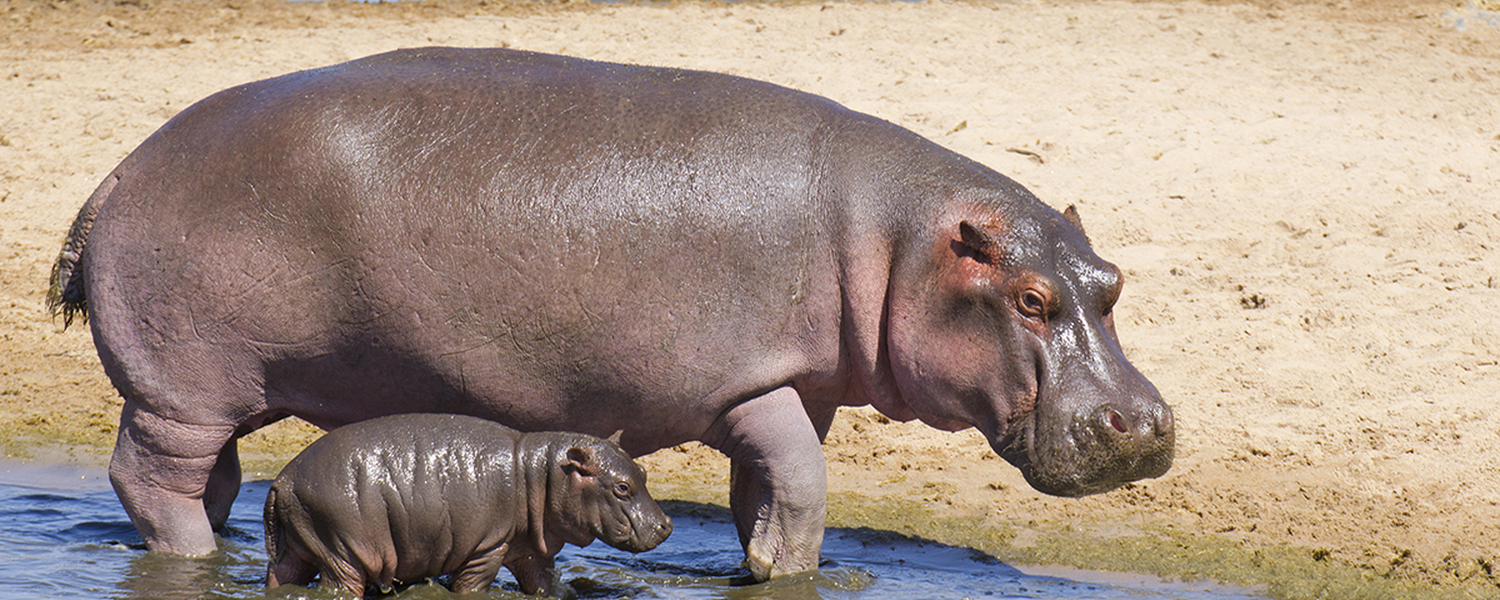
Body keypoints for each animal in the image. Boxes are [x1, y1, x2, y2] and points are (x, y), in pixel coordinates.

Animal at [264, 413, 670, 596]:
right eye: (621, 487)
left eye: (643, 471)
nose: (666, 524)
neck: (540, 472)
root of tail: (284, 479)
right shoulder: (487, 548)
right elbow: (472, 586)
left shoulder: (530, 549)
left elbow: (541, 583)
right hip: (343, 550)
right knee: (338, 586)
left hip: (300, 546)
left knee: (280, 576)